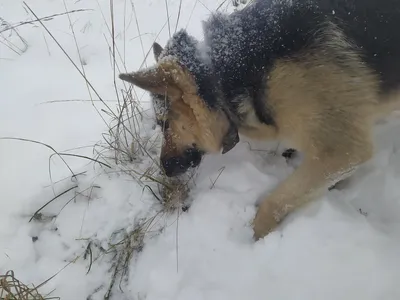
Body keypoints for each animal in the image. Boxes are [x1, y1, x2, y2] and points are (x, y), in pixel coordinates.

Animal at [120, 0, 400, 239]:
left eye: (164, 123)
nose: (164, 169)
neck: (221, 75)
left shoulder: (342, 151)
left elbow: (275, 201)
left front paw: (255, 235)